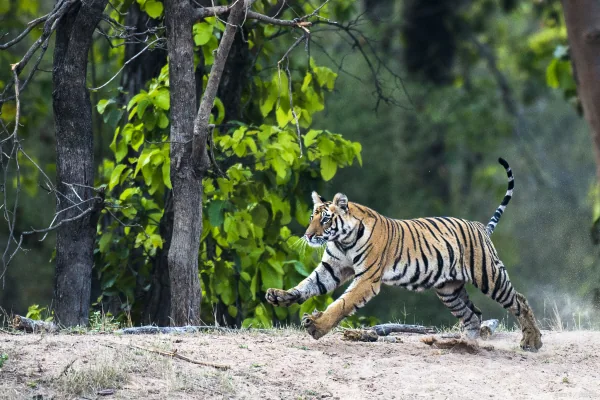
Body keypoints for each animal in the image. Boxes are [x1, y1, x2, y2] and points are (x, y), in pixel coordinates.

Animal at [268, 158, 544, 352]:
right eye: (311, 217)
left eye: (325, 219)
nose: (308, 235)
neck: (342, 240)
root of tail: (480, 227)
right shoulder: (332, 269)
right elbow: (306, 285)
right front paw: (279, 296)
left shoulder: (367, 279)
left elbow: (341, 304)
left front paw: (316, 326)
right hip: (449, 289)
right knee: (473, 315)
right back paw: (465, 345)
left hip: (488, 275)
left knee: (519, 300)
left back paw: (532, 341)